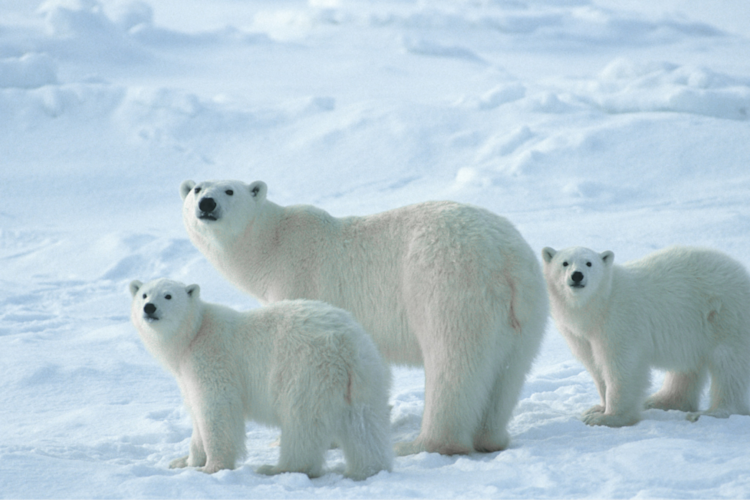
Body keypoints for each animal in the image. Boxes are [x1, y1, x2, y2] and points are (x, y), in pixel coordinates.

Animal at [129, 278, 393, 479]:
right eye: (143, 294)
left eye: (168, 295)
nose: (149, 308)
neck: (193, 334)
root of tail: (345, 344)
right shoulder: (186, 374)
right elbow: (196, 412)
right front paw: (183, 461)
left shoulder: (212, 360)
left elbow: (216, 410)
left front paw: (211, 467)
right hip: (365, 377)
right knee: (363, 425)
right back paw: (367, 470)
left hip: (306, 371)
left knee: (302, 424)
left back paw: (276, 468)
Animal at [179, 179, 549, 456]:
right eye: (197, 188)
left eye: (230, 190)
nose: (207, 204)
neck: (273, 245)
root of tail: (505, 260)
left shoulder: (301, 281)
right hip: (527, 310)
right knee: (508, 371)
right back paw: (490, 437)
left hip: (448, 286)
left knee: (453, 364)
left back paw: (422, 443)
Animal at [542, 245, 750, 426]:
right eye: (565, 263)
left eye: (589, 263)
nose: (577, 276)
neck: (598, 306)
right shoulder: (580, 335)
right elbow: (595, 366)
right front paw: (597, 408)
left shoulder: (619, 321)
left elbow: (621, 366)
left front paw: (608, 418)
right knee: (687, 368)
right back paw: (661, 400)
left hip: (724, 315)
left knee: (728, 366)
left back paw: (709, 413)